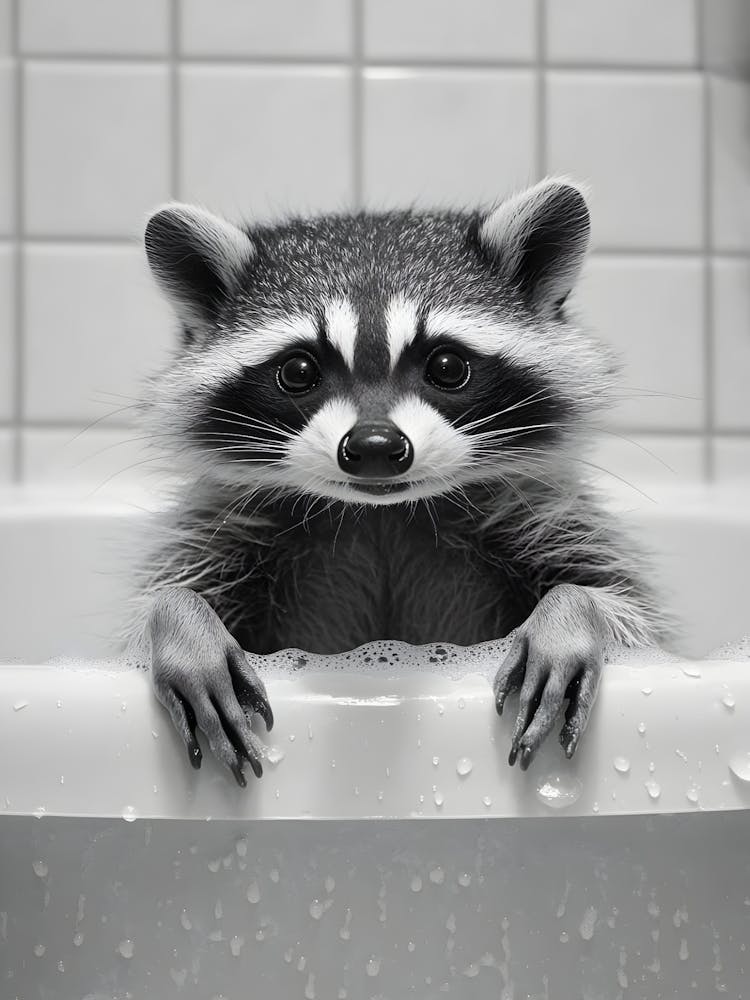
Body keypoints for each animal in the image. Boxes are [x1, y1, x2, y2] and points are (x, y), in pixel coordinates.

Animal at [130, 178, 667, 786]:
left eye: (447, 367)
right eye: (298, 371)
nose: (374, 448)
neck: (381, 513)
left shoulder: (547, 516)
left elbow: (632, 616)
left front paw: (574, 611)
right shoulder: (226, 530)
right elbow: (163, 597)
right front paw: (180, 620)